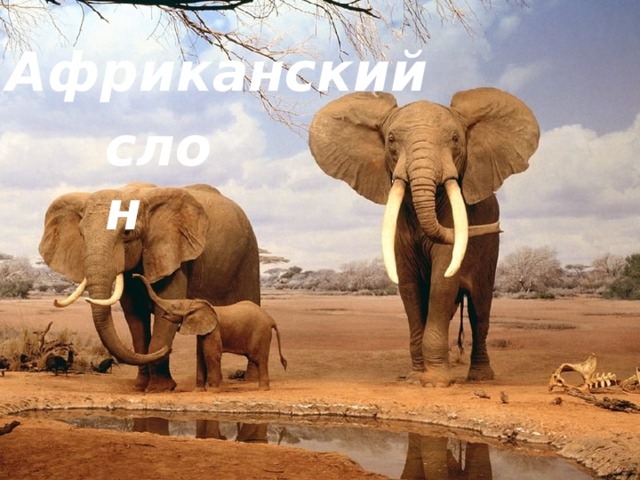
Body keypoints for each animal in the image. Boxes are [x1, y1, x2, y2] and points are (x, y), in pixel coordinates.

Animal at [38, 182, 260, 392]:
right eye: (81, 234)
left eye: (127, 232)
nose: (169, 350)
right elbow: (135, 317)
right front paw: (140, 386)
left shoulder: (173, 255)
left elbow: (165, 310)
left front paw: (159, 388)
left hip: (249, 255)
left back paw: (250, 380)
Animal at [134, 273, 287, 391]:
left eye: (174, 306)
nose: (133, 275)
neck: (194, 304)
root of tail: (270, 319)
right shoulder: (202, 331)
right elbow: (200, 355)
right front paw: (199, 390)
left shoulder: (214, 330)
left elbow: (210, 354)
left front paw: (213, 390)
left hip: (260, 333)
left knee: (259, 359)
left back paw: (263, 389)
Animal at [309, 88, 539, 386]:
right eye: (391, 140)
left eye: (455, 139)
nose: (498, 227)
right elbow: (409, 286)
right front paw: (415, 377)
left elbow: (443, 281)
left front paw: (436, 382)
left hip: (490, 251)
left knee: (480, 310)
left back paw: (480, 378)